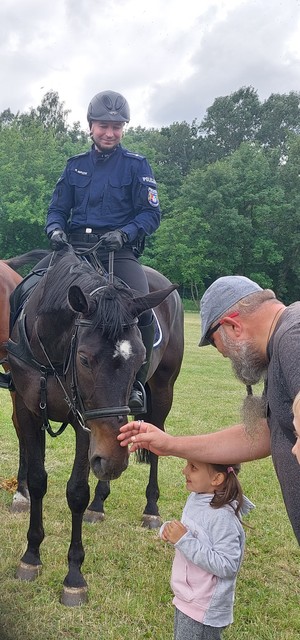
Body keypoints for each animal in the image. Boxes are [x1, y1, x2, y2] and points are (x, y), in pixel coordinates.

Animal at [7, 245, 184, 604]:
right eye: (85, 358)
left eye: (140, 355)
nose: (113, 461)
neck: (53, 354)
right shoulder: (28, 411)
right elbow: (38, 481)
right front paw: (31, 556)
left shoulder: (84, 423)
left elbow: (76, 491)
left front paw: (74, 576)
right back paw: (99, 504)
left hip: (163, 392)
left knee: (155, 447)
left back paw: (151, 507)